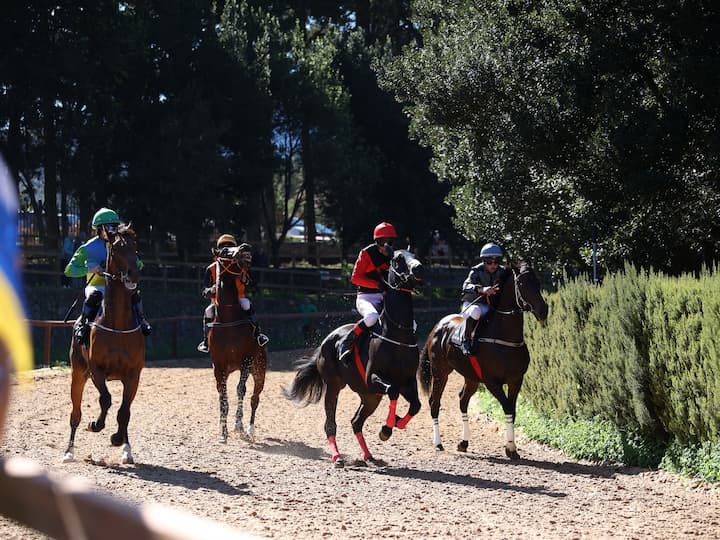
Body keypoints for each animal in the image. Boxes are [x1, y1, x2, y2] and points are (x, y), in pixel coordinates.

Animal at [65, 226, 147, 466]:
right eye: (117, 247)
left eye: (135, 246)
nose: (133, 274)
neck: (117, 325)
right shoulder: (96, 370)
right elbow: (106, 399)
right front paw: (96, 425)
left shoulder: (133, 374)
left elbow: (124, 412)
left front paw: (119, 441)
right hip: (78, 373)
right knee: (75, 413)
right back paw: (69, 451)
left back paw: (126, 451)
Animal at [208, 248, 268, 442]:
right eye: (225, 251)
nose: (246, 247)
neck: (228, 319)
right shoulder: (219, 365)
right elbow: (223, 397)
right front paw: (223, 432)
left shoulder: (246, 361)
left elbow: (241, 390)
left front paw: (238, 425)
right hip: (227, 370)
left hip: (259, 369)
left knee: (254, 398)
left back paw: (249, 429)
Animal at [286, 249, 422, 464]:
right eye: (398, 259)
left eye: (414, 255)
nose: (418, 268)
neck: (397, 335)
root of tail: (327, 341)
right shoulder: (374, 378)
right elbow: (392, 391)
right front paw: (386, 429)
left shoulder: (407, 381)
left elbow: (416, 405)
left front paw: (397, 422)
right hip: (334, 386)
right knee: (330, 423)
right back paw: (337, 456)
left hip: (370, 397)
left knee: (356, 422)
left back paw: (368, 455)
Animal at [416, 262, 544, 460]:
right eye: (522, 284)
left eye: (537, 282)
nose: (543, 310)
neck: (504, 338)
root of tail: (437, 327)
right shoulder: (491, 381)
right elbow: (507, 407)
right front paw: (510, 447)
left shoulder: (516, 380)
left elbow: (512, 410)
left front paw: (512, 448)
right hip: (440, 373)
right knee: (434, 402)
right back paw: (438, 443)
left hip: (471, 378)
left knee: (462, 400)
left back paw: (463, 442)